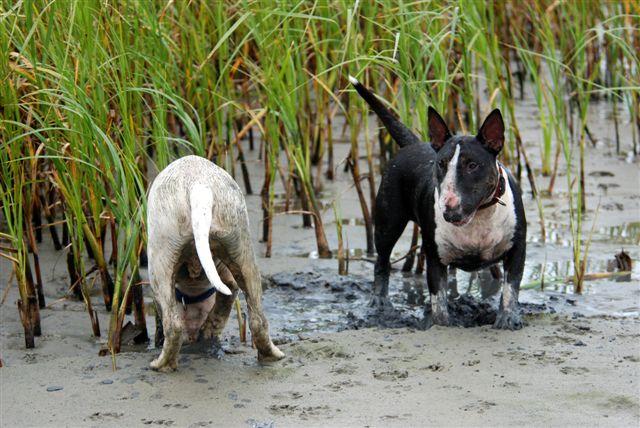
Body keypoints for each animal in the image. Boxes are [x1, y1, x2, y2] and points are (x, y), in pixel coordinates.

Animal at [149, 155, 284, 370]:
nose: (193, 336)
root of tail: (199, 187)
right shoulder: (226, 278)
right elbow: (224, 300)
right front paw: (209, 332)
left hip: (160, 259)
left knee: (173, 324)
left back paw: (162, 365)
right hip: (240, 245)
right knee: (258, 318)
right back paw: (271, 356)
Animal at [350, 76, 524, 332]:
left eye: (472, 165)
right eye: (440, 163)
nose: (448, 212)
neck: (478, 216)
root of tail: (413, 144)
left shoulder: (517, 248)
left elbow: (511, 288)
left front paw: (507, 319)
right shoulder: (434, 255)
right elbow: (438, 298)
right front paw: (442, 325)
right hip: (388, 221)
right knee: (381, 260)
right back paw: (379, 301)